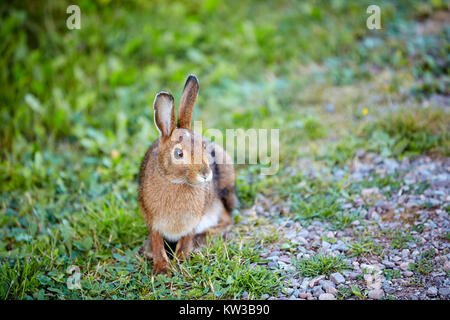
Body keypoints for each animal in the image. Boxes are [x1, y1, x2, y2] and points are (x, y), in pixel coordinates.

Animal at [138, 74, 239, 276]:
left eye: (203, 147)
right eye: (179, 154)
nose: (206, 174)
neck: (175, 182)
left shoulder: (193, 221)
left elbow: (185, 239)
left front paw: (181, 262)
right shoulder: (152, 221)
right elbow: (157, 241)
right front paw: (161, 268)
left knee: (227, 218)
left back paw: (201, 240)